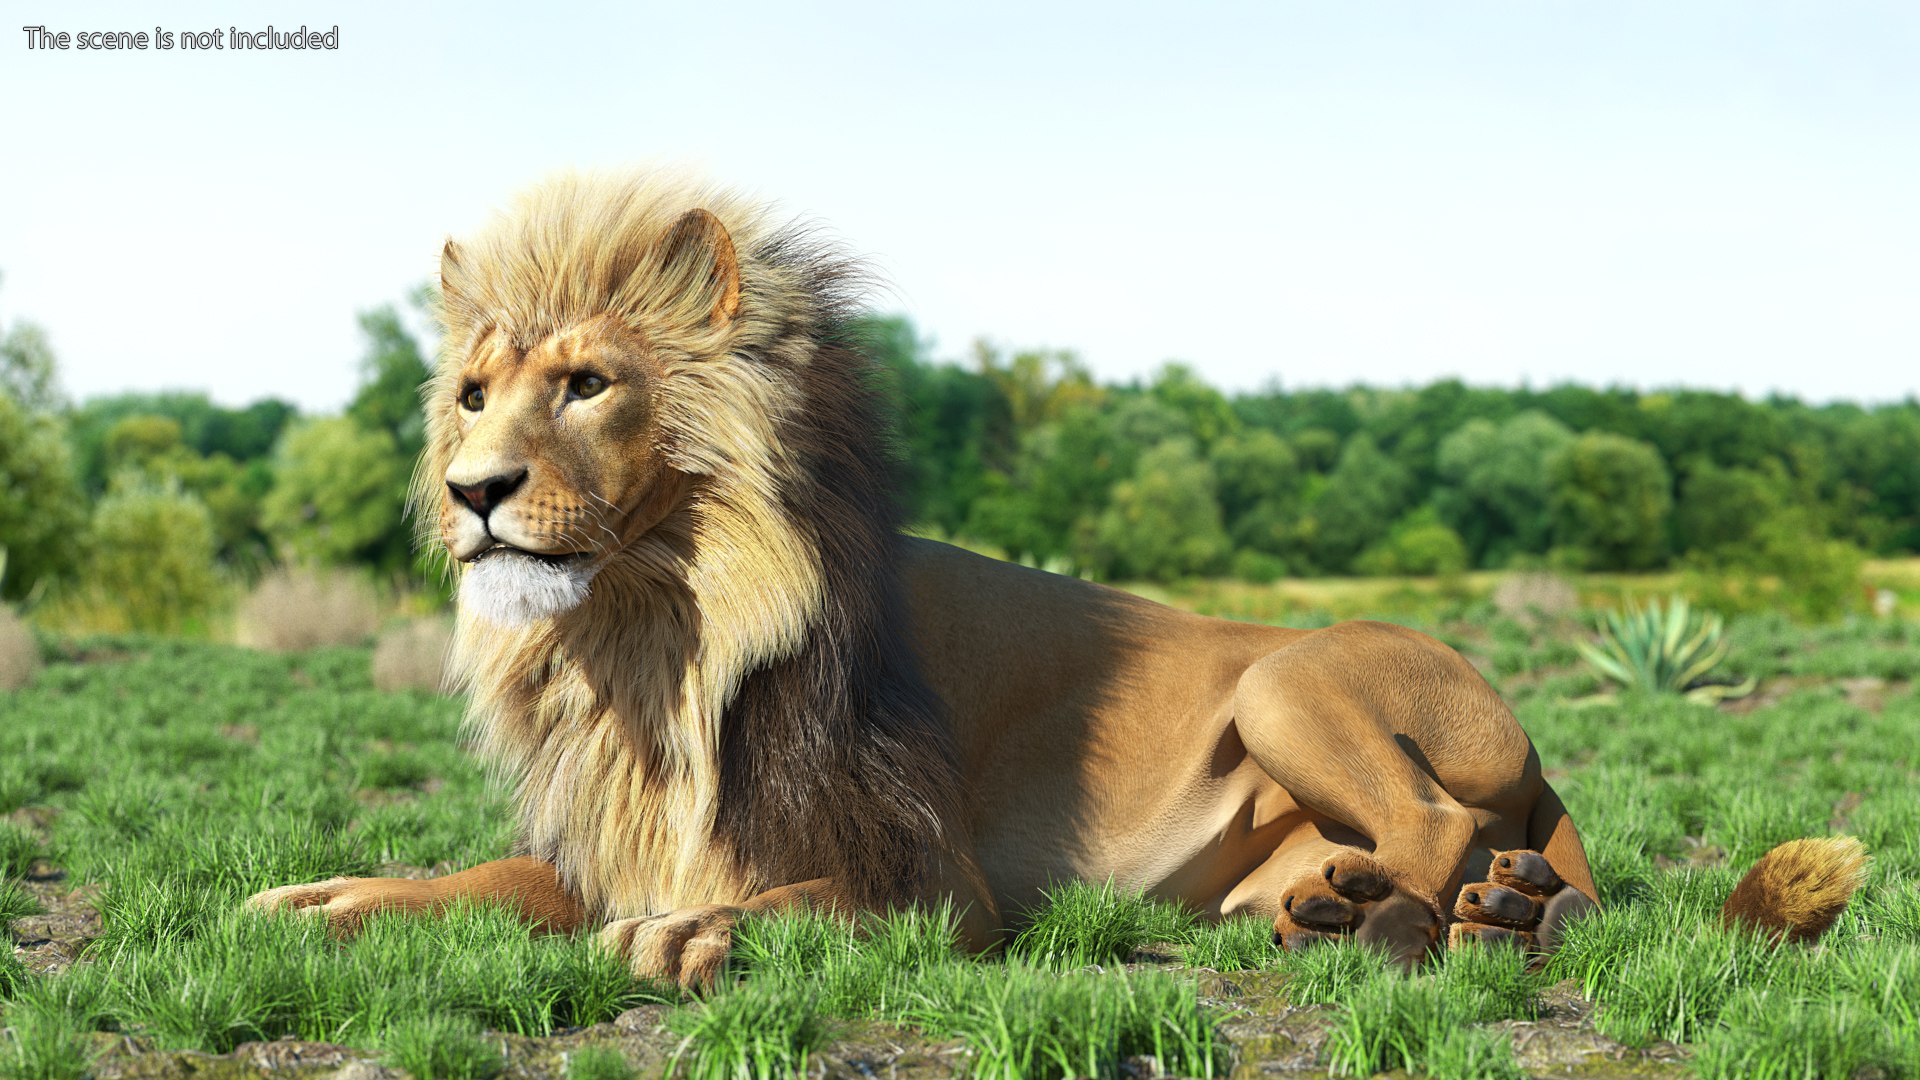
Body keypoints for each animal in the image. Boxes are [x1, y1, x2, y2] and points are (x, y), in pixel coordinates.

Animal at [249, 170, 1868, 985]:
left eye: (587, 384)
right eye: (471, 395)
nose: (472, 495)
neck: (652, 643)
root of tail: (1524, 727)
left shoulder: (942, 884)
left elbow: (805, 899)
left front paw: (696, 933)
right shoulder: (611, 841)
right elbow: (473, 882)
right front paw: (320, 898)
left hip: (1288, 677)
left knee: (1434, 818)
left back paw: (1406, 927)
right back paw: (1386, 911)